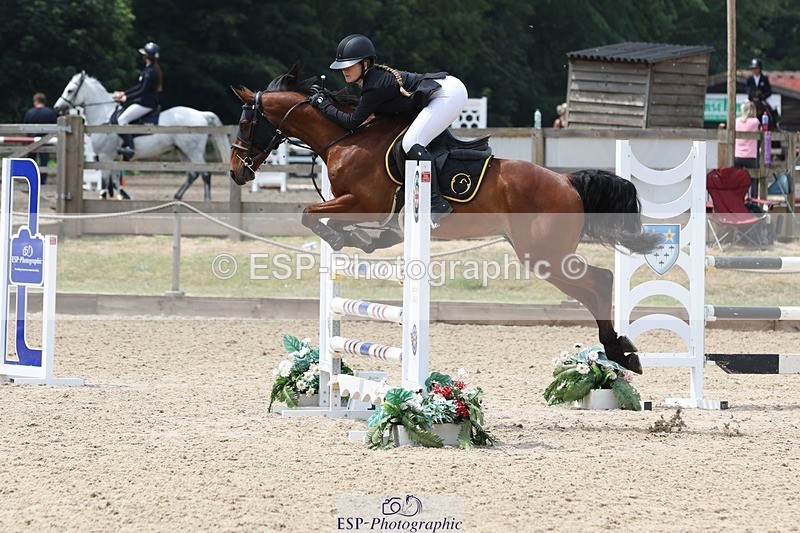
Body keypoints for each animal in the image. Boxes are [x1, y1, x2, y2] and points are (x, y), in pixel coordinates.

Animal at [53, 72, 230, 201]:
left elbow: (104, 182)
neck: (104, 115)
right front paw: (123, 198)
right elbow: (115, 182)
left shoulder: (105, 156)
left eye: (70, 90)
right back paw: (177, 197)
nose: (57, 108)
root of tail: (200, 114)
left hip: (194, 151)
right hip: (182, 151)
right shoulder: (114, 158)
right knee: (193, 174)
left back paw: (206, 200)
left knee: (205, 174)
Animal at [228, 63, 662, 374]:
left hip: (544, 256)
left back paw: (620, 351)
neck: (347, 138)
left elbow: (310, 215)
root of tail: (566, 180)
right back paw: (620, 351)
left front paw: (342, 239)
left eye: (246, 123)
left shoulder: (365, 202)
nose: (236, 173)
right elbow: (342, 226)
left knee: (599, 281)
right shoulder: (364, 207)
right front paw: (364, 241)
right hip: (544, 255)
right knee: (596, 284)